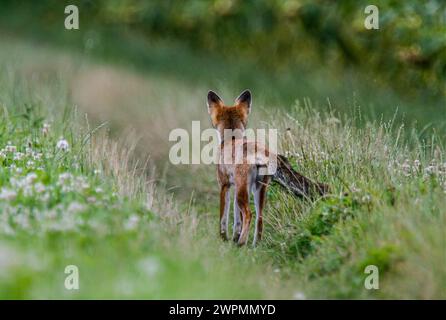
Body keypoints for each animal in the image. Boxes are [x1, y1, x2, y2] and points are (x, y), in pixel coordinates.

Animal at [207, 90, 330, 248]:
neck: (232, 139)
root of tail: (263, 151)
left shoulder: (224, 186)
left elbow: (223, 218)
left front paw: (224, 239)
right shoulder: (239, 187)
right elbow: (237, 221)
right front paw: (234, 237)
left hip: (245, 191)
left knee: (249, 215)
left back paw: (242, 243)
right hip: (257, 189)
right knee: (259, 218)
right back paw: (254, 245)